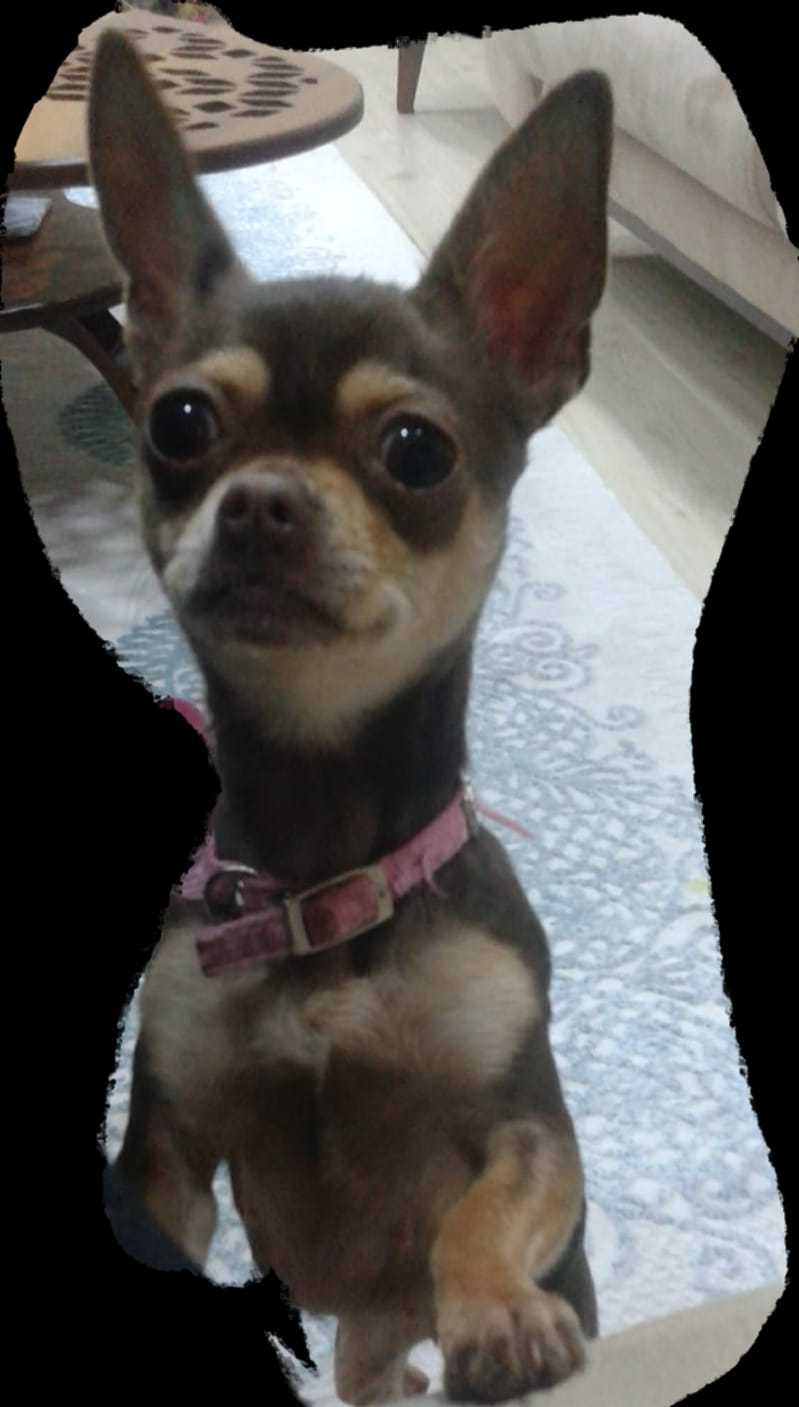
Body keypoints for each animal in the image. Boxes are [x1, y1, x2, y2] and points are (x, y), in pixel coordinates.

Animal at [91, 31, 611, 1404]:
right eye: (178, 423)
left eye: (417, 450)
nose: (261, 503)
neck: (323, 868)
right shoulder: (167, 1151)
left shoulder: (530, 1126)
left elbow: (488, 1207)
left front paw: (498, 1312)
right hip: (366, 1339)